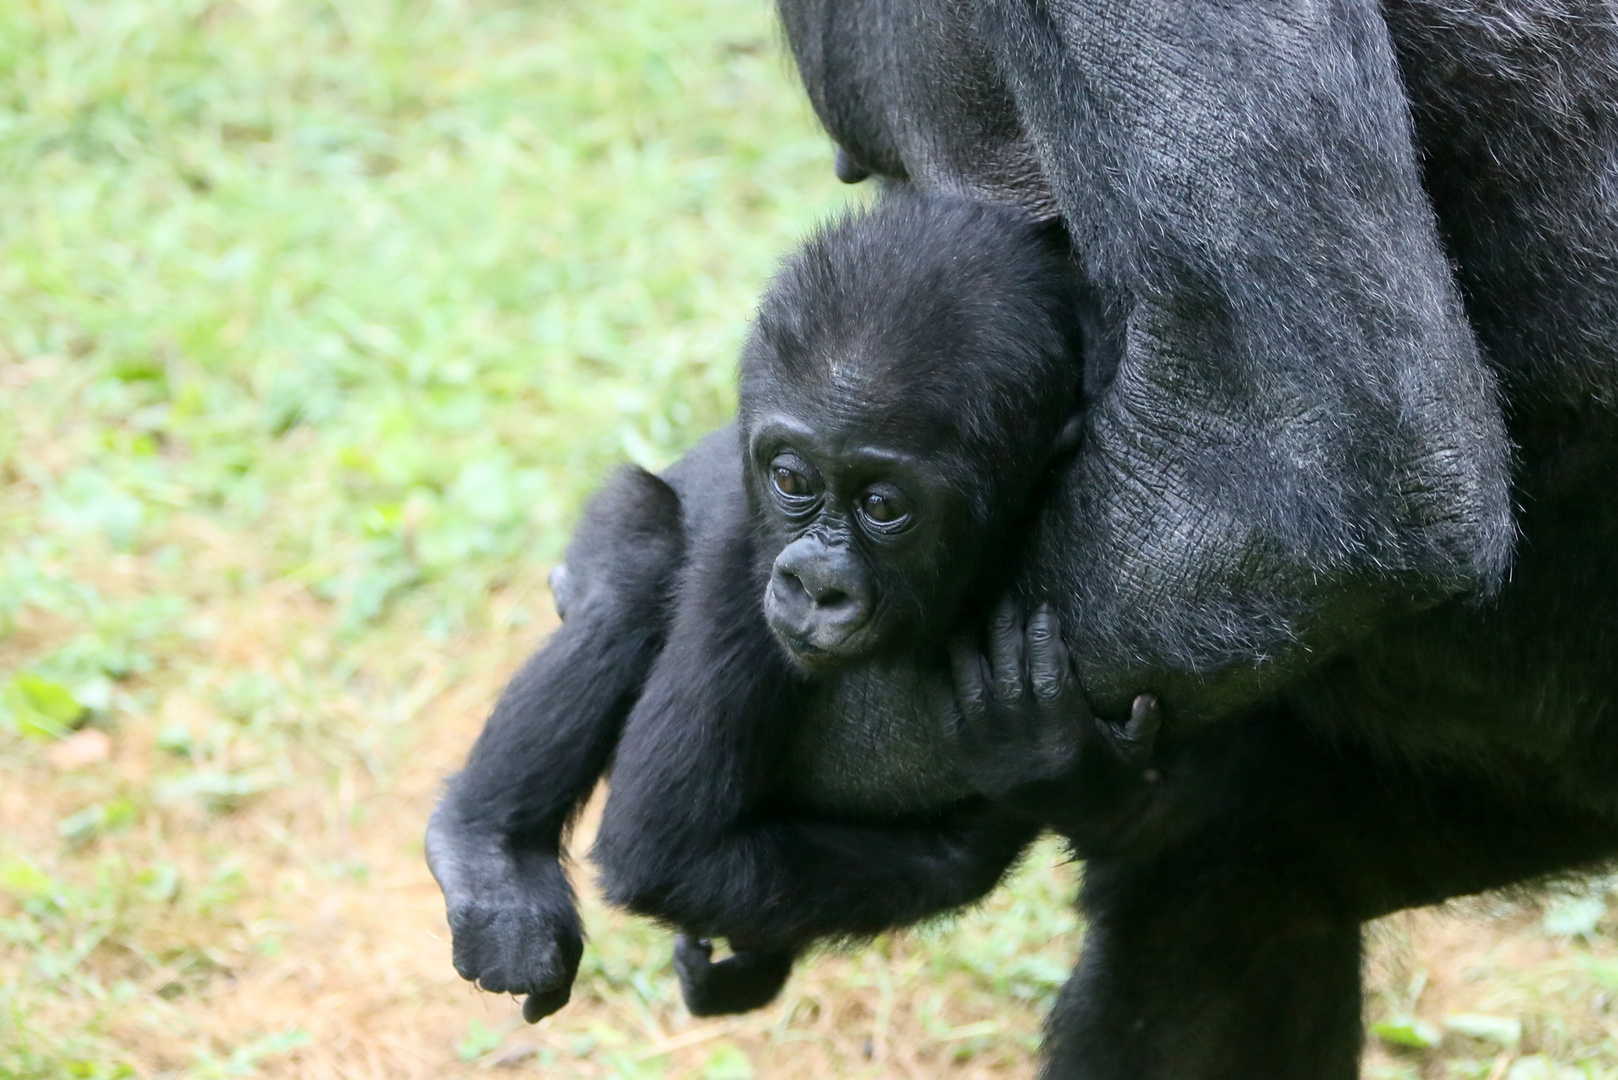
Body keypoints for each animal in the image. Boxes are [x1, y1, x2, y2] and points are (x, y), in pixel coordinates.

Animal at [423, 191, 1158, 1023]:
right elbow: (667, 848)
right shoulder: (742, 568)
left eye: (883, 505)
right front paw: (1018, 801)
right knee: (633, 563)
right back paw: (489, 851)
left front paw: (1068, 777)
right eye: (792, 479)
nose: (813, 583)